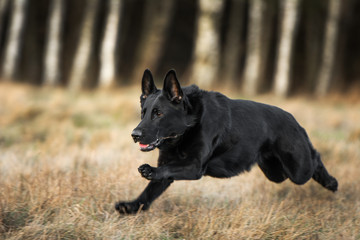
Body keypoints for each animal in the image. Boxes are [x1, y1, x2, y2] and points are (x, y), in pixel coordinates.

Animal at [115, 69, 338, 214]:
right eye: (143, 113)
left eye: (159, 113)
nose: (135, 134)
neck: (187, 127)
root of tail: (294, 120)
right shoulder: (169, 170)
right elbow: (149, 192)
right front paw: (131, 207)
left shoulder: (195, 166)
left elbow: (162, 171)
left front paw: (148, 170)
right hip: (275, 172)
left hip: (297, 169)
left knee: (315, 158)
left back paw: (331, 182)